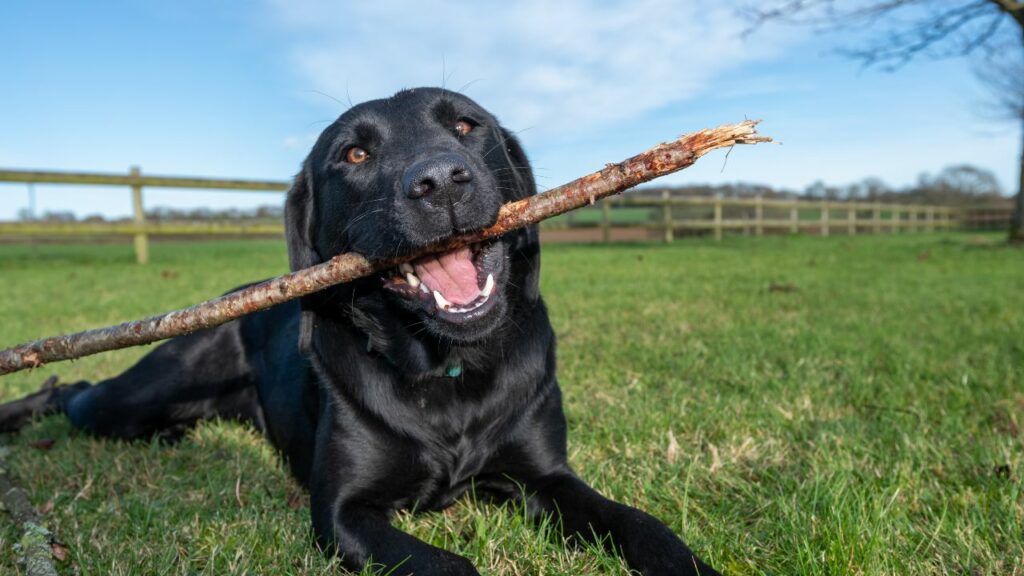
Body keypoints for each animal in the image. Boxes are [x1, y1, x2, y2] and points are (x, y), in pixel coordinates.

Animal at [0, 87, 720, 569]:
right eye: (354, 153)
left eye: (467, 125)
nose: (440, 181)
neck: (446, 372)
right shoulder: (344, 514)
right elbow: (450, 565)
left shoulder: (546, 477)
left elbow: (643, 525)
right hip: (139, 395)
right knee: (77, 389)